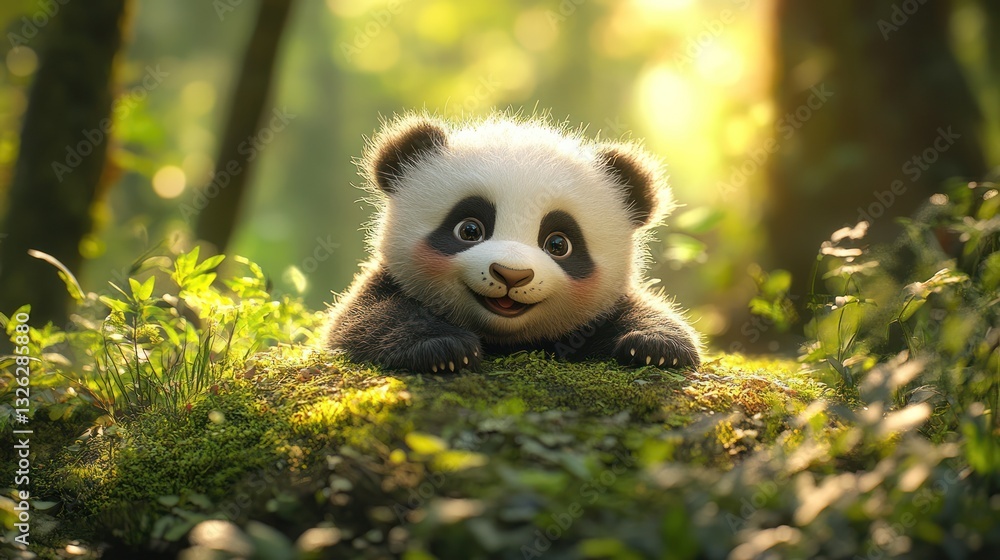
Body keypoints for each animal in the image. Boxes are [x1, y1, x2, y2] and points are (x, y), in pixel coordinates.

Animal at [326, 114, 702, 373]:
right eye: (469, 230)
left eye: (558, 244)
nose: (511, 274)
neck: (504, 338)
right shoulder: (382, 285)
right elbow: (365, 319)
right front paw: (443, 349)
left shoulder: (601, 310)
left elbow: (650, 314)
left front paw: (656, 347)